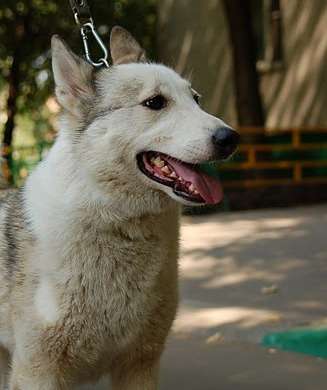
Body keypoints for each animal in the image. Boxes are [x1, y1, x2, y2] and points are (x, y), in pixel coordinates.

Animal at [0, 25, 240, 388]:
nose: (230, 138)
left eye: (196, 99)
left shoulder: (140, 364)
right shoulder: (38, 371)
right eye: (155, 103)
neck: (120, 225)